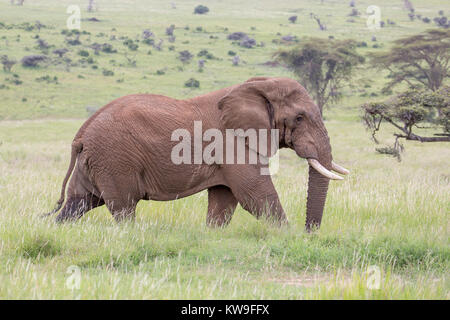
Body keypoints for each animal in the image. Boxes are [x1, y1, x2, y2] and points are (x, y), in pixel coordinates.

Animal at [45, 76, 348, 231]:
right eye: (299, 118)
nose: (310, 232)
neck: (257, 85)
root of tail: (81, 133)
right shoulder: (231, 143)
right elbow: (255, 194)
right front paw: (287, 236)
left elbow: (224, 200)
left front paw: (212, 235)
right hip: (114, 160)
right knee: (123, 207)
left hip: (96, 162)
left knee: (78, 203)